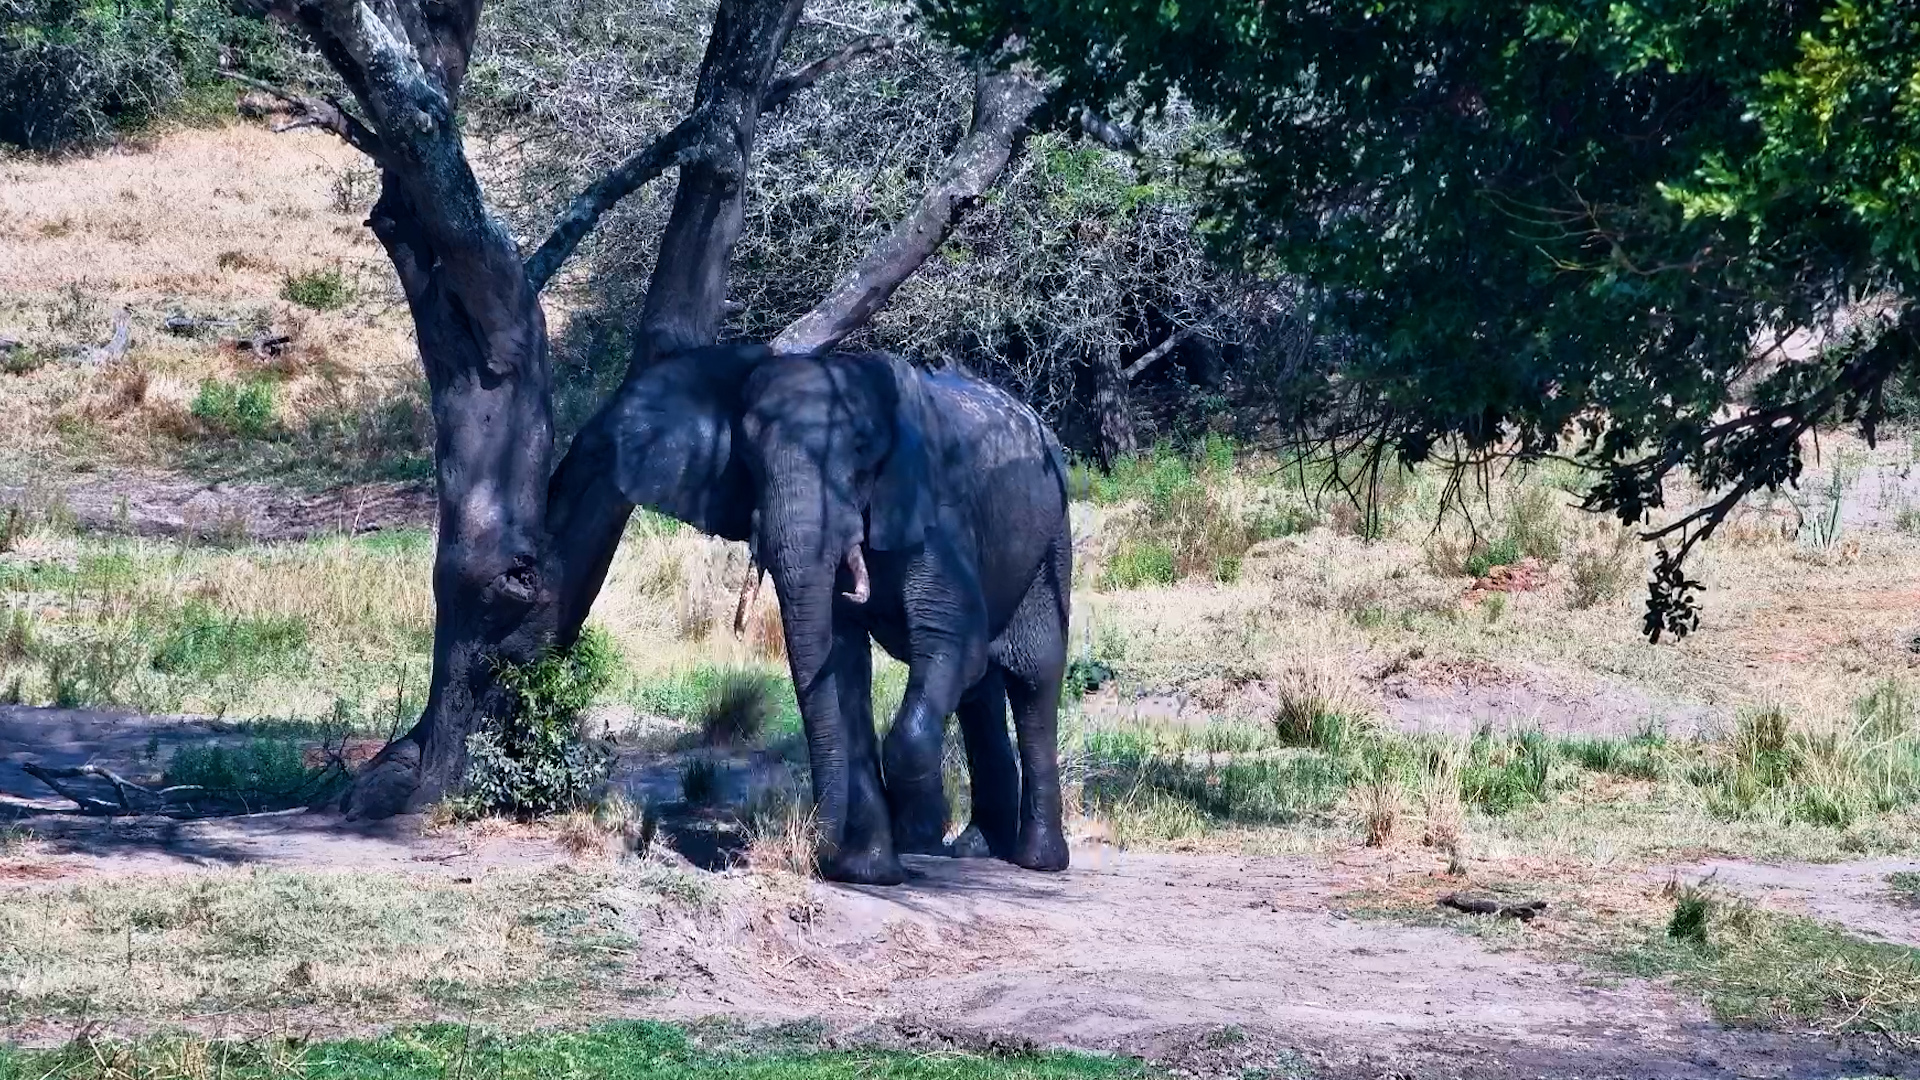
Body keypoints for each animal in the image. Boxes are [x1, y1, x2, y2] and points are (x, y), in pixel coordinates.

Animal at [607, 343, 1072, 885]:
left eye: (861, 450)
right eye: (746, 456)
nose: (816, 854)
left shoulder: (937, 511)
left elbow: (949, 640)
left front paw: (916, 830)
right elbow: (844, 662)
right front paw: (868, 872)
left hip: (1052, 538)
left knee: (1033, 675)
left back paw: (1037, 860)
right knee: (981, 689)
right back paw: (976, 847)